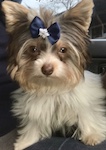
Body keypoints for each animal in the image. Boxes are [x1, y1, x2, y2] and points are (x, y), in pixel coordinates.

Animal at [1, 0, 106, 150]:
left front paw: (92, 135)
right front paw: (26, 141)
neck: (53, 84)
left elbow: (87, 115)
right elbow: (33, 123)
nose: (47, 69)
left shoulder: (84, 102)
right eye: (33, 49)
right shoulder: (36, 108)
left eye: (63, 49)